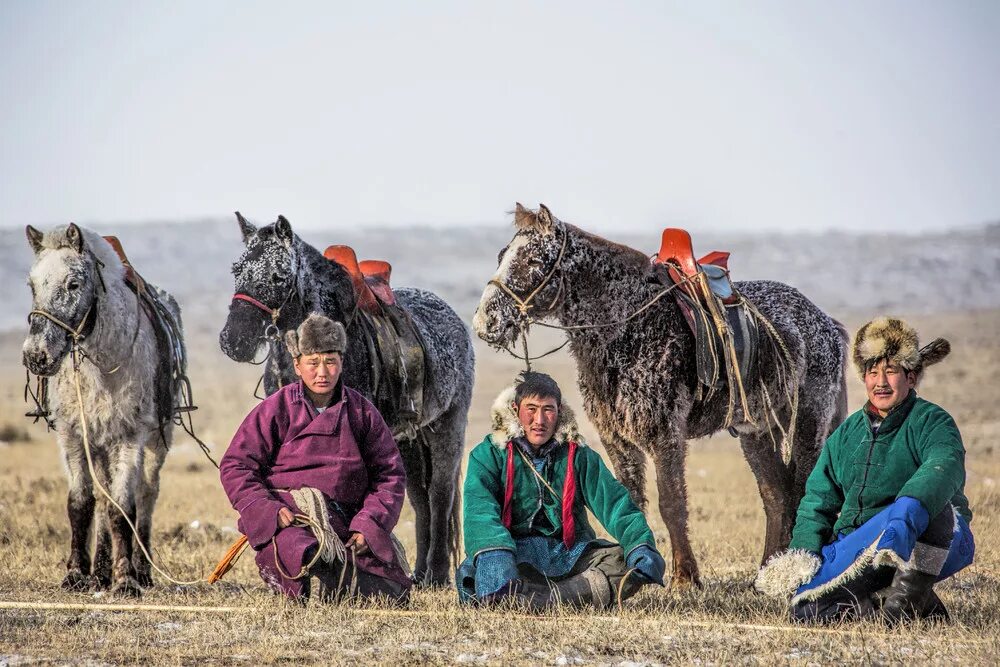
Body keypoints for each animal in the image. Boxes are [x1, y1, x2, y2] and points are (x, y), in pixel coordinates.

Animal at [23, 223, 184, 596]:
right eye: (32, 285)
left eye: (73, 284)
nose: (36, 356)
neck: (102, 363)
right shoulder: (73, 435)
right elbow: (81, 503)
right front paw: (77, 574)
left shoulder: (129, 436)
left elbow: (123, 506)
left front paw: (125, 579)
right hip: (98, 445)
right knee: (102, 497)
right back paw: (99, 571)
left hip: (156, 441)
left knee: (146, 495)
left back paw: (142, 570)